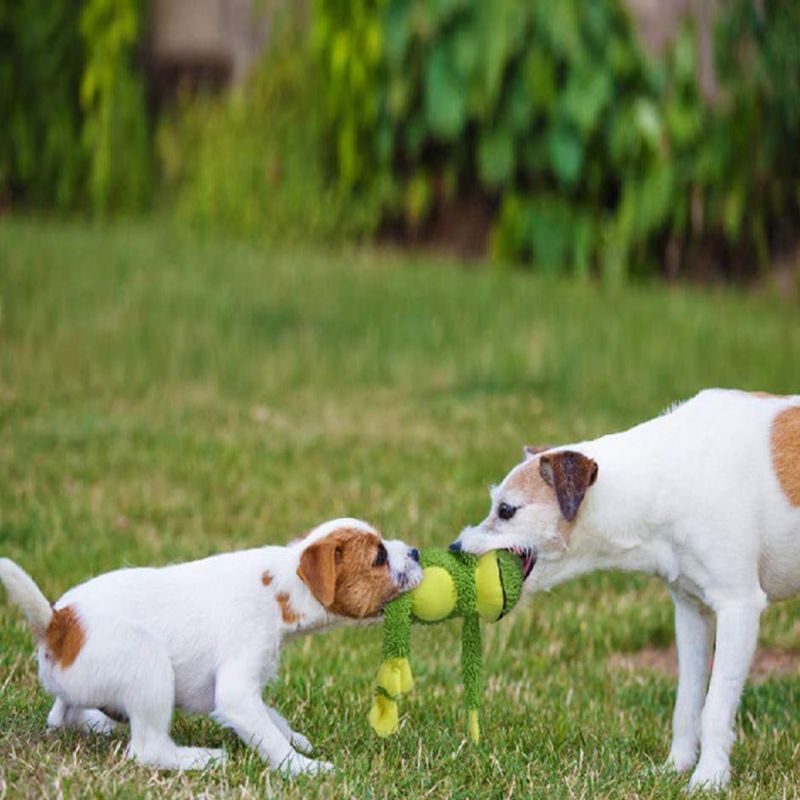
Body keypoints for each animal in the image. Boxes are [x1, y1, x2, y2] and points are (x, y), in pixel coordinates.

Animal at [0, 520, 422, 776]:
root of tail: (58, 624)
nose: (417, 551)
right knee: (149, 749)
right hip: (149, 665)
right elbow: (266, 733)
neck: (282, 585)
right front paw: (302, 768)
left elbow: (271, 717)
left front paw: (293, 736)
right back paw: (201, 757)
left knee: (62, 713)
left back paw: (97, 722)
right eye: (379, 557)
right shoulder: (236, 690)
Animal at [450, 390, 800, 792]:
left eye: (506, 510)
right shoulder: (691, 612)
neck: (662, 480)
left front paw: (708, 779)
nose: (455, 549)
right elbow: (687, 702)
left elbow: (715, 707)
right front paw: (676, 767)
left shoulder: (738, 608)